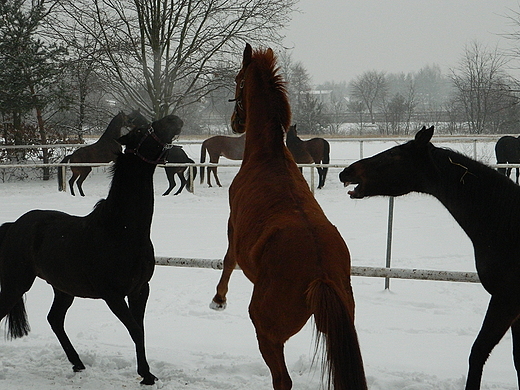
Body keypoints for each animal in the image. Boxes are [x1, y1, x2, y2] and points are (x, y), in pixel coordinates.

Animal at [0, 114, 183, 386]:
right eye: (140, 131)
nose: (174, 119)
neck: (121, 231)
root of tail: (13, 225)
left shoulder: (140, 290)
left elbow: (140, 330)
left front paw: (146, 373)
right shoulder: (113, 296)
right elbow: (134, 329)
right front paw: (146, 375)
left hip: (63, 288)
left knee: (55, 319)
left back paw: (77, 363)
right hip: (16, 283)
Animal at [209, 43, 368, 390]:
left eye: (239, 79)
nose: (235, 122)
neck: (269, 156)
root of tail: (321, 273)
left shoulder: (232, 223)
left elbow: (228, 260)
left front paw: (218, 299)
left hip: (267, 330)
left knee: (282, 380)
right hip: (339, 326)